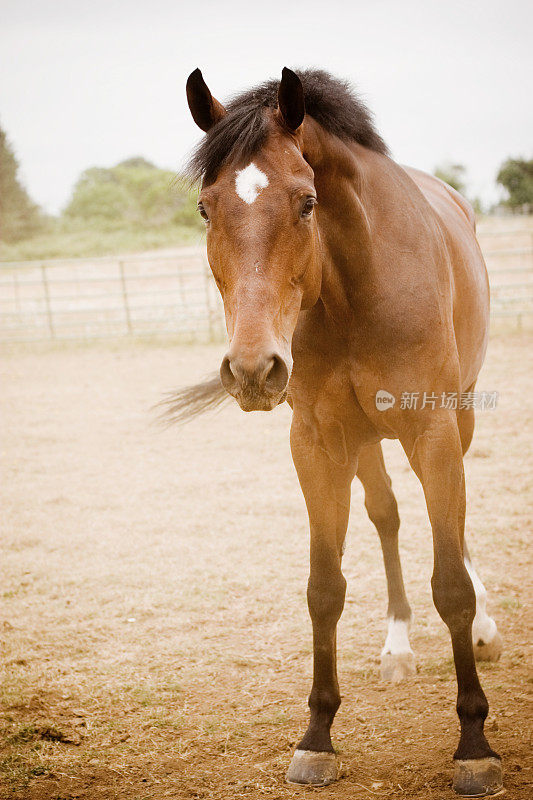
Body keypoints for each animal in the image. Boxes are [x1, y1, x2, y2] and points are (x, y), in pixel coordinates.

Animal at [168, 67, 500, 792]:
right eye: (206, 208)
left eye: (306, 203)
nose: (253, 369)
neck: (354, 283)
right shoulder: (317, 444)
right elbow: (324, 589)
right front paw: (317, 736)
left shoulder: (433, 432)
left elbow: (451, 584)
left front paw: (473, 745)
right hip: (364, 441)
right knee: (386, 515)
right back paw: (397, 646)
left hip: (454, 421)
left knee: (454, 534)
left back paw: (485, 630)